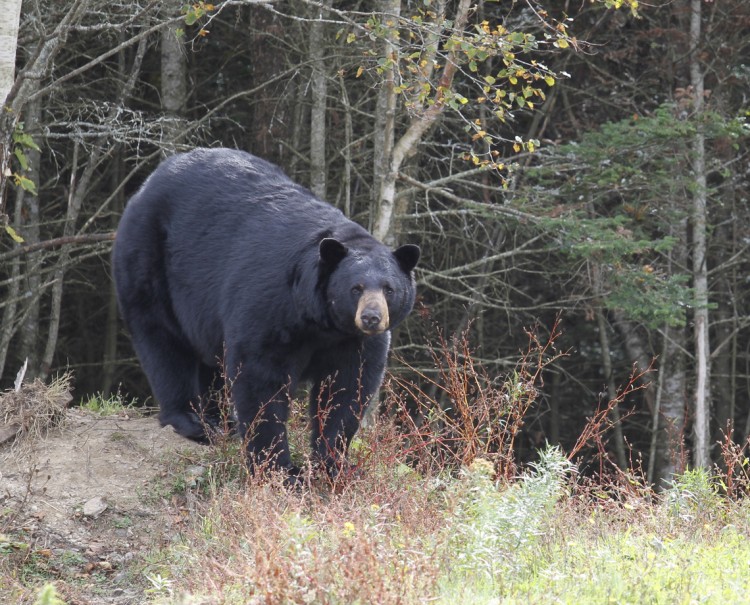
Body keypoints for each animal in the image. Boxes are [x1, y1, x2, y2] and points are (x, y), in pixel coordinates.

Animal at [114, 149, 424, 478]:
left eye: (389, 288)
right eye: (356, 288)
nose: (371, 317)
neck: (322, 321)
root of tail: (149, 182)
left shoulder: (353, 341)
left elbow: (348, 387)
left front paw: (335, 463)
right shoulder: (273, 306)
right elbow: (260, 376)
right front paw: (281, 469)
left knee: (208, 360)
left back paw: (220, 420)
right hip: (149, 259)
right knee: (162, 340)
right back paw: (192, 420)